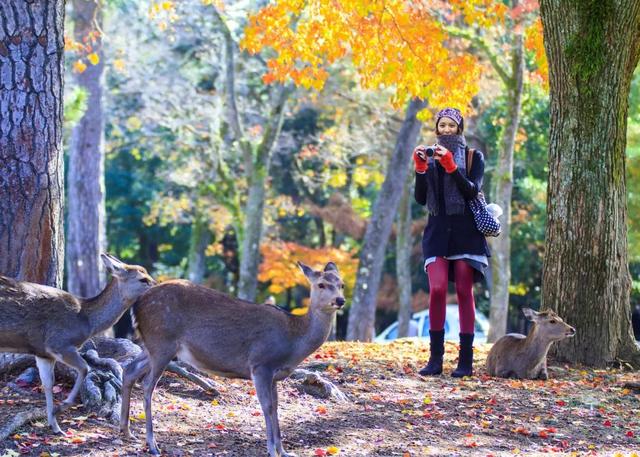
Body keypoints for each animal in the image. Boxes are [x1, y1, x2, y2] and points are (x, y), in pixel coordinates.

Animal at [0, 255, 155, 432]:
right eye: (143, 279)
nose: (158, 286)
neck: (86, 321)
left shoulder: (42, 352)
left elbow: (48, 383)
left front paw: (55, 425)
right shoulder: (59, 343)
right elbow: (84, 368)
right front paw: (61, 407)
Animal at [122, 260, 348, 456]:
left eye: (341, 284)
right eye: (321, 284)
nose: (340, 300)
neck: (293, 342)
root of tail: (137, 305)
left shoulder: (274, 375)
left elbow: (276, 407)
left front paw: (284, 451)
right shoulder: (261, 364)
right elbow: (267, 407)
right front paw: (271, 450)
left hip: (153, 346)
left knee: (129, 370)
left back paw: (125, 431)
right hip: (162, 341)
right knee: (147, 384)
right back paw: (152, 444)